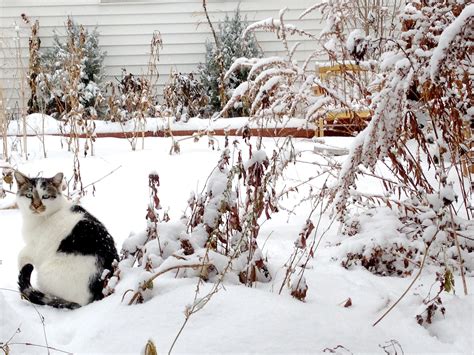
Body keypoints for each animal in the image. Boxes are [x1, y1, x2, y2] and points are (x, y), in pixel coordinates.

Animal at [15, 172, 118, 308]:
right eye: (29, 195)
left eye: (45, 196)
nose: (36, 206)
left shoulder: (36, 248)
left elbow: (21, 256)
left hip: (46, 273)